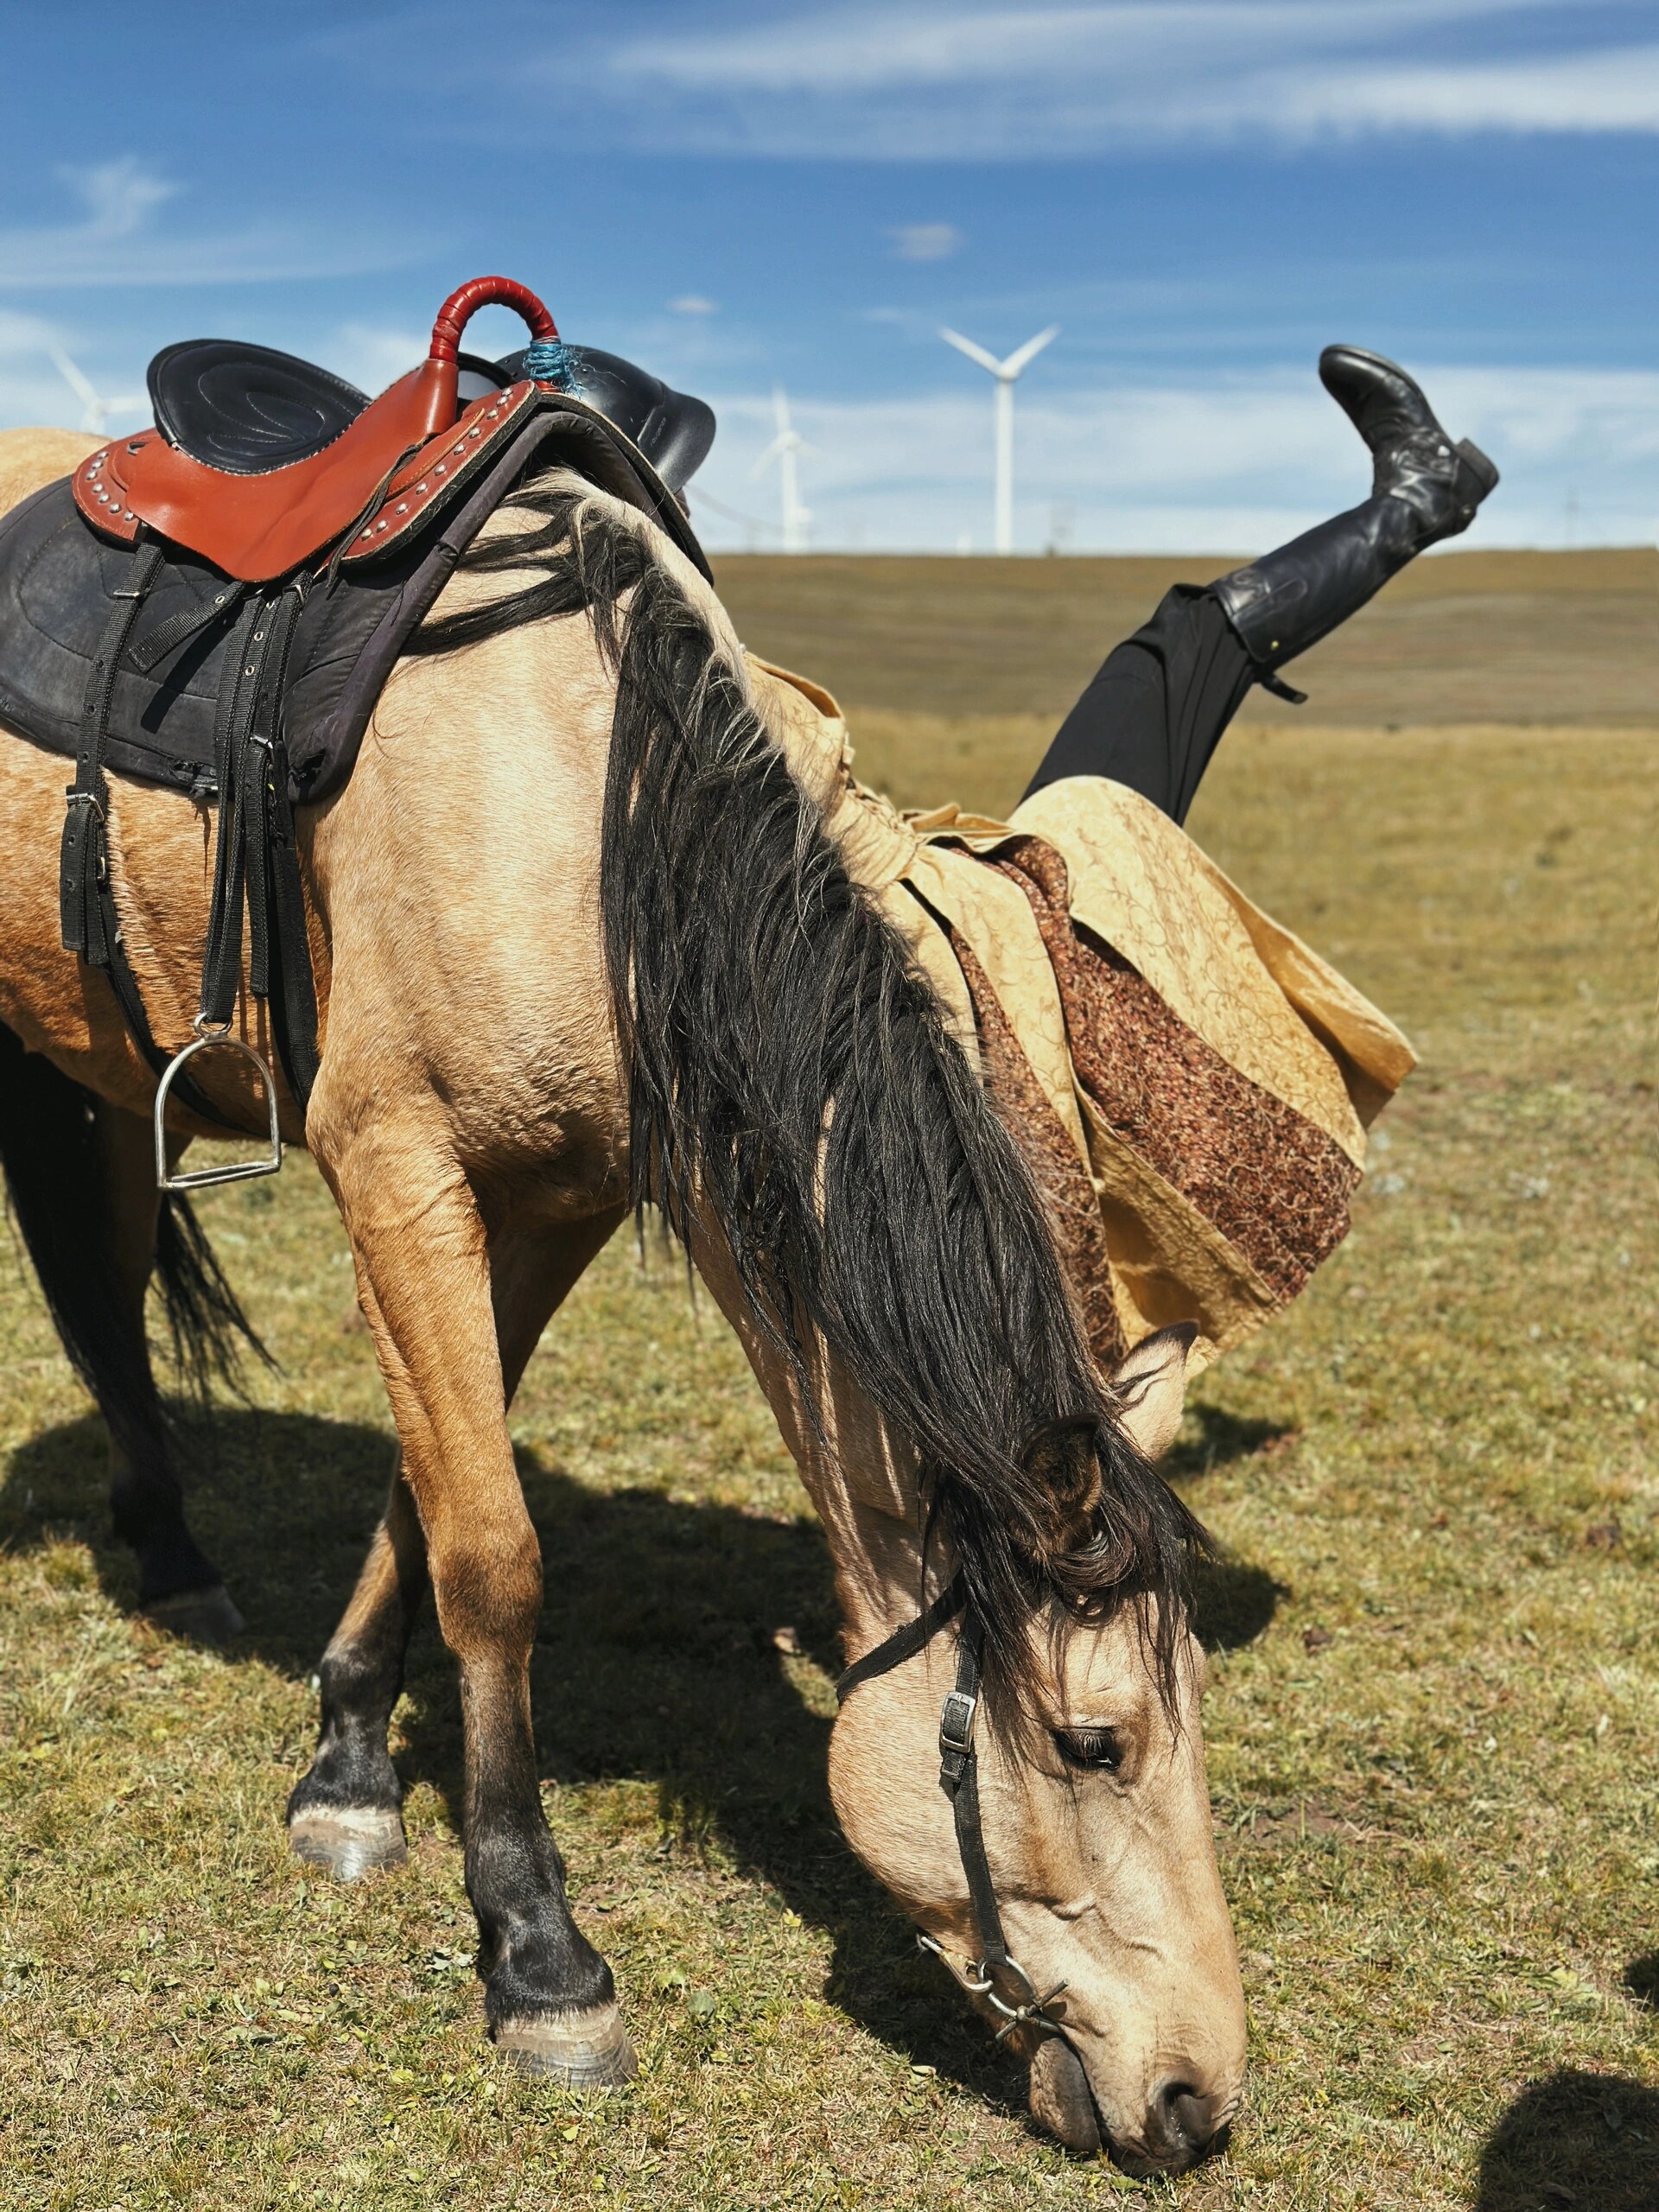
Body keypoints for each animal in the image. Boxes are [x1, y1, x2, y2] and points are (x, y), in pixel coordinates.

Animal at [0, 426, 1246, 2173]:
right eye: (1096, 1742)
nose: (1202, 2102)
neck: (587, 812)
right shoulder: (395, 1166)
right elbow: (496, 1556)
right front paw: (540, 1954)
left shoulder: (556, 1197)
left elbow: (428, 1492)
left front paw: (348, 1765)